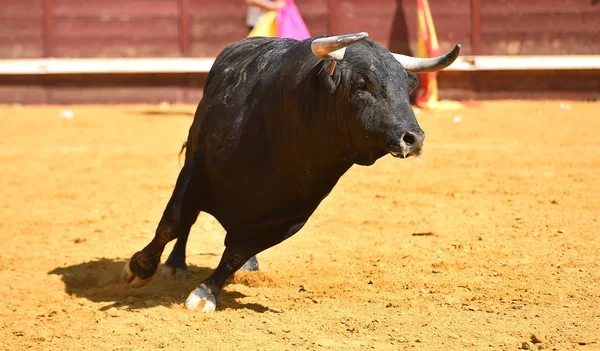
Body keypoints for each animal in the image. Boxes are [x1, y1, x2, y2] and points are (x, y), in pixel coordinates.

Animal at [120, 32, 460, 314]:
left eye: (406, 87)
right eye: (362, 85)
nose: (413, 138)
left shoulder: (291, 216)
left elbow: (236, 253)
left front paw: (205, 294)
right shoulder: (196, 171)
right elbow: (172, 223)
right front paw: (138, 268)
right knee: (185, 223)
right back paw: (174, 264)